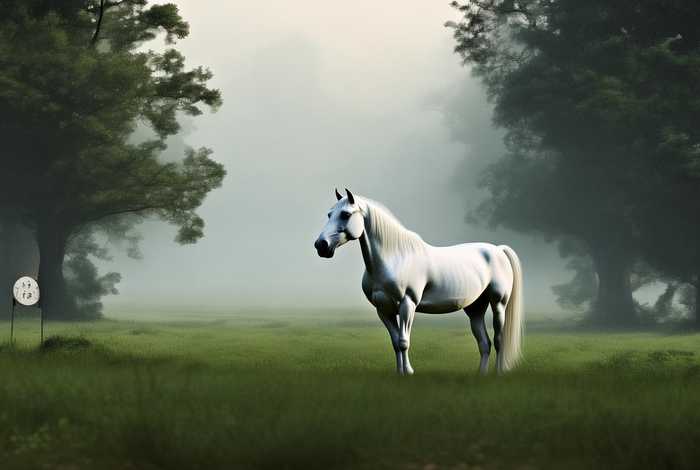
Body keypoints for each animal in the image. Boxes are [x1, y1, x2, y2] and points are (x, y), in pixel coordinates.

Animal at [314, 189, 523, 375]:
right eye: (329, 214)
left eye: (345, 214)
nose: (321, 245)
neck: (395, 258)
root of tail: (498, 249)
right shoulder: (384, 310)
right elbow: (395, 342)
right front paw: (399, 373)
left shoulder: (407, 304)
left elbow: (403, 342)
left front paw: (409, 372)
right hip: (475, 308)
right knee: (484, 343)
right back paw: (481, 374)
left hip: (498, 303)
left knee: (498, 340)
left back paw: (498, 373)